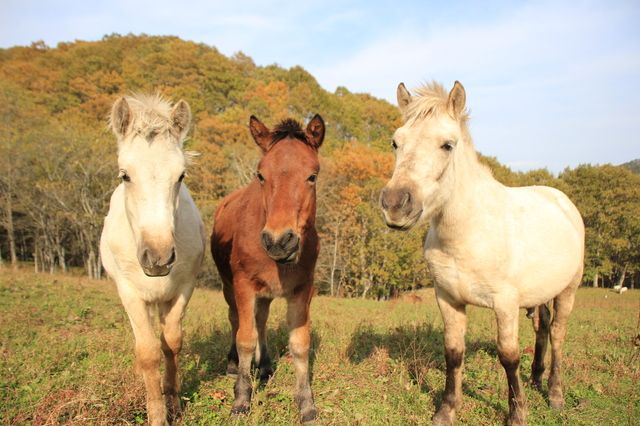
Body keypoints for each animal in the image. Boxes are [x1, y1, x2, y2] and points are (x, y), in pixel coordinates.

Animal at [100, 94, 205, 426]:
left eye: (181, 176)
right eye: (125, 175)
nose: (158, 258)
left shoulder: (183, 289)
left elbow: (171, 343)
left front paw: (173, 402)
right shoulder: (130, 293)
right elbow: (147, 352)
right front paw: (157, 413)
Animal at [212, 114, 324, 422]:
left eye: (312, 176)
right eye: (261, 175)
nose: (279, 241)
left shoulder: (302, 290)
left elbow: (300, 343)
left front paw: (306, 404)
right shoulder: (243, 285)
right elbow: (245, 338)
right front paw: (241, 399)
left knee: (260, 320)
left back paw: (264, 367)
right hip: (228, 287)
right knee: (236, 319)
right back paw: (233, 366)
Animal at [380, 81, 584, 424]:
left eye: (447, 145)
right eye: (396, 142)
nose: (395, 205)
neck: (467, 233)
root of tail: (562, 200)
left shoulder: (505, 304)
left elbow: (509, 356)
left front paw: (517, 413)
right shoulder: (448, 299)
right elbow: (453, 353)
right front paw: (446, 410)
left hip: (568, 289)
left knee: (557, 333)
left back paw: (555, 395)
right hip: (539, 294)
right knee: (542, 327)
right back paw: (536, 378)